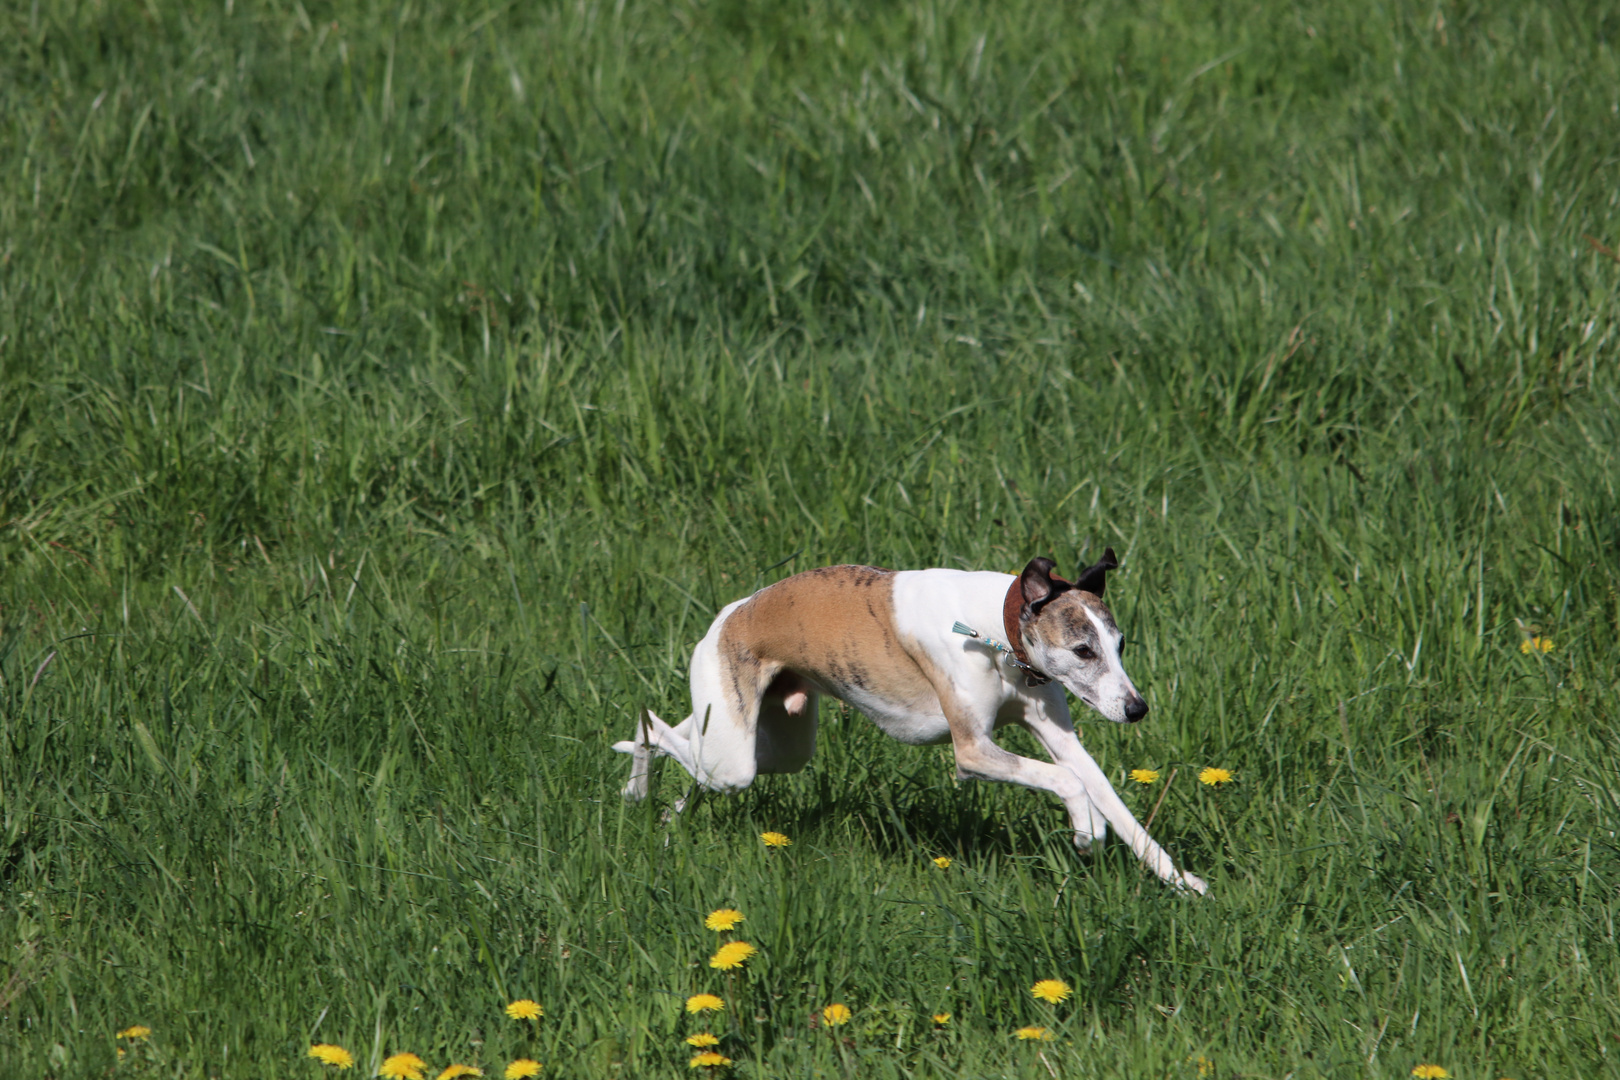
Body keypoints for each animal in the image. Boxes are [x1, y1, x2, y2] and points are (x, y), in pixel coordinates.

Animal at [612, 550, 1211, 893]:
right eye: (1083, 650)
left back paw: (657, 805)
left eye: (1119, 643)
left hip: (772, 744)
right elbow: (1066, 783)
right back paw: (641, 779)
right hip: (735, 758)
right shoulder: (973, 751)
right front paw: (1087, 831)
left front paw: (1183, 881)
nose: (1137, 708)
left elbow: (1113, 801)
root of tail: (730, 615)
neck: (992, 630)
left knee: (677, 744)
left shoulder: (1059, 736)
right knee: (654, 727)